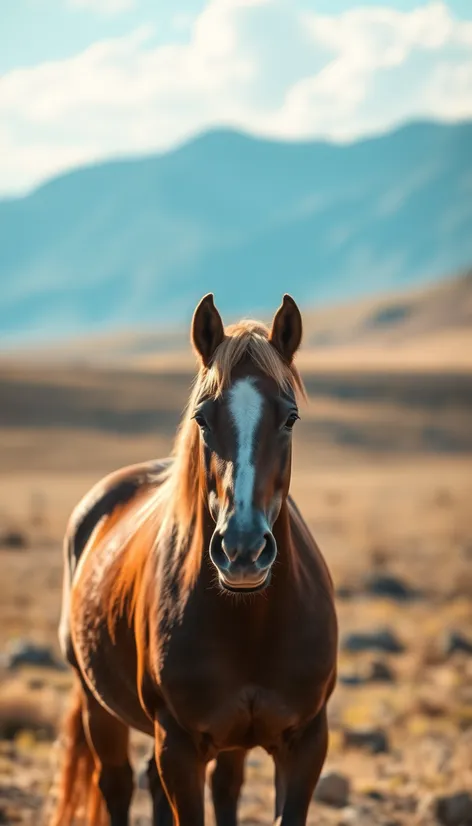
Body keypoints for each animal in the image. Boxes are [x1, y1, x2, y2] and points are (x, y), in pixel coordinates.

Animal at [51, 294, 338, 824]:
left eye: (289, 417)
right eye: (202, 418)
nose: (243, 550)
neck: (251, 624)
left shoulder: (306, 742)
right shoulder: (180, 747)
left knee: (214, 786)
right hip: (99, 706)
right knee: (117, 783)